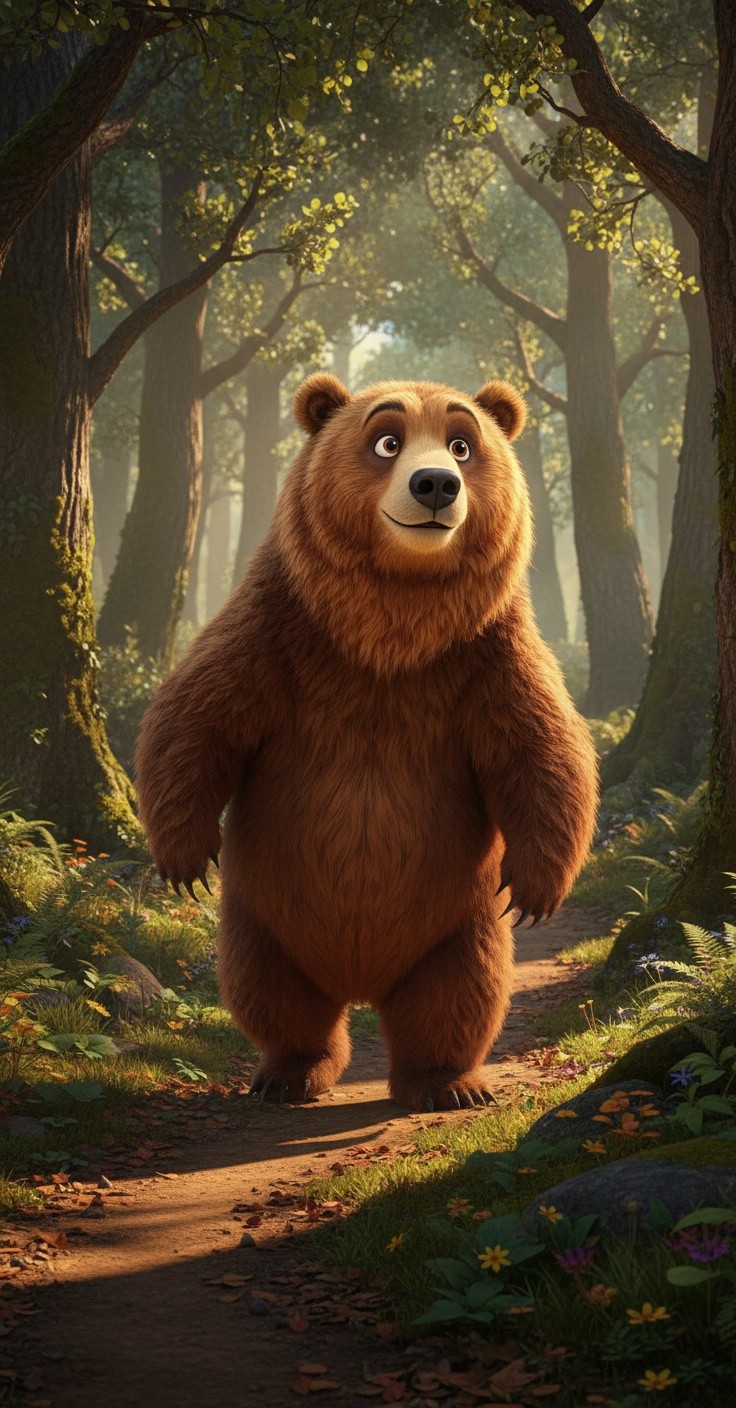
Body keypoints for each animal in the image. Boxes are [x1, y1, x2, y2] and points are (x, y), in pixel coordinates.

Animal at [135, 374, 598, 1112]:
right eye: (387, 440)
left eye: (462, 444)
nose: (435, 484)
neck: (391, 628)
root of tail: (359, 979)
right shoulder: (278, 628)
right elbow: (196, 715)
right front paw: (183, 858)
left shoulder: (487, 653)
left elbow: (542, 748)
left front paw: (536, 889)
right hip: (265, 916)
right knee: (268, 990)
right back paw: (289, 1072)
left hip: (456, 921)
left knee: (459, 994)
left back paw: (446, 1083)